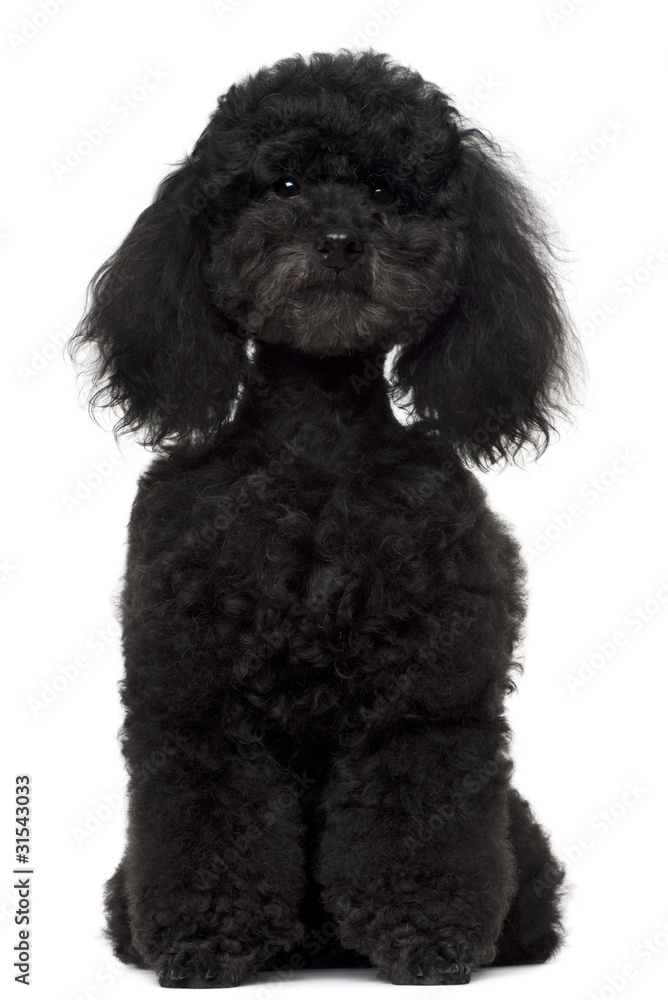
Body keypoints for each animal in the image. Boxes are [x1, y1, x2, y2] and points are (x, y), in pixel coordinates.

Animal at [70, 47, 576, 984]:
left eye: (383, 191)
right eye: (285, 184)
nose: (341, 243)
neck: (315, 453)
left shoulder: (427, 690)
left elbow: (415, 811)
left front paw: (425, 937)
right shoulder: (194, 688)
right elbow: (213, 813)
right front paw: (207, 939)